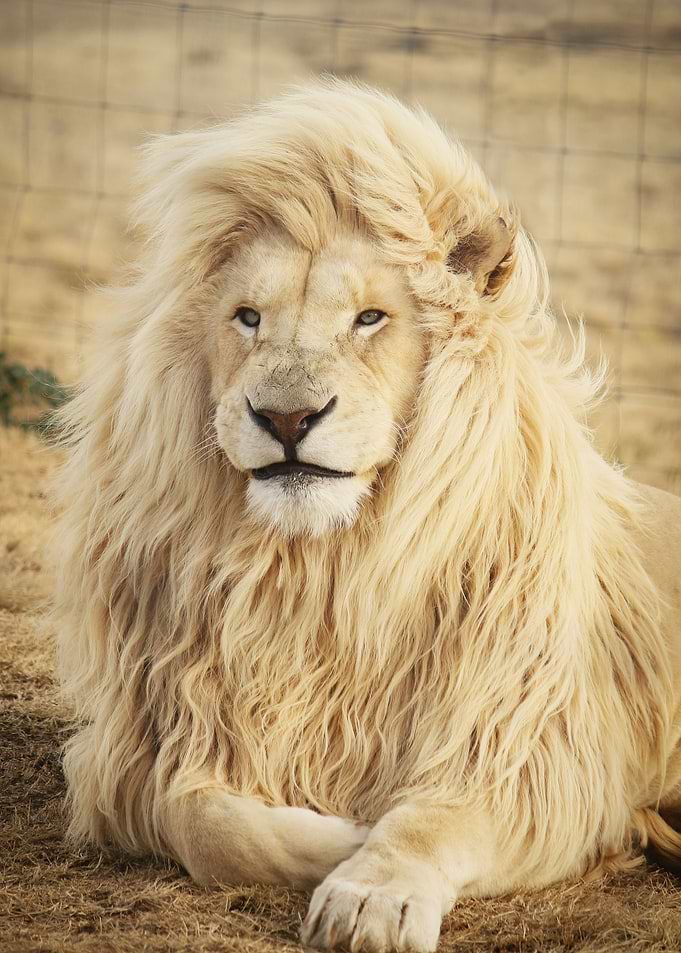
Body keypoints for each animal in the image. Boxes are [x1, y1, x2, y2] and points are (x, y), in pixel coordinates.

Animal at [55, 79, 681, 953]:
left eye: (369, 318)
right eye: (248, 316)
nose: (285, 417)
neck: (318, 571)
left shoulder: (527, 752)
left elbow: (427, 820)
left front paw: (368, 891)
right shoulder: (150, 746)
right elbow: (204, 821)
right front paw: (340, 836)